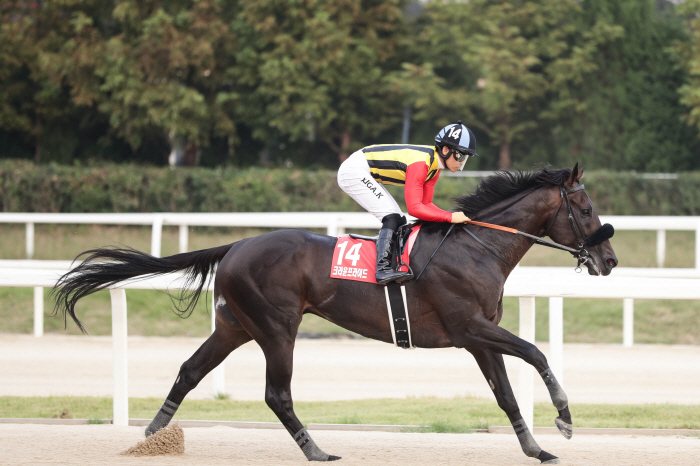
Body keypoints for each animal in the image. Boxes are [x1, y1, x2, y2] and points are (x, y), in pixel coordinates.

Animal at [52, 164, 616, 462]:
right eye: (586, 210)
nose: (609, 260)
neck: (476, 247)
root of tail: (236, 245)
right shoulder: (471, 327)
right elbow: (536, 353)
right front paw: (565, 420)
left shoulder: (479, 336)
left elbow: (505, 393)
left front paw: (537, 448)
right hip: (277, 326)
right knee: (277, 393)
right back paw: (316, 451)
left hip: (235, 326)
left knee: (190, 370)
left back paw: (151, 437)